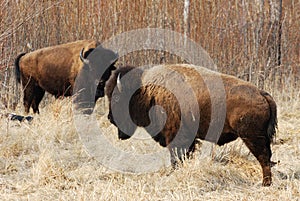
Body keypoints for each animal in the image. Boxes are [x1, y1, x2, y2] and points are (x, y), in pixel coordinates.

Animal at [105, 63, 276, 186]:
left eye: (116, 98)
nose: (110, 118)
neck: (147, 91)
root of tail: (261, 93)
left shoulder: (175, 137)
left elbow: (176, 158)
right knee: (267, 157)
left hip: (252, 137)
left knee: (264, 158)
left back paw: (265, 183)